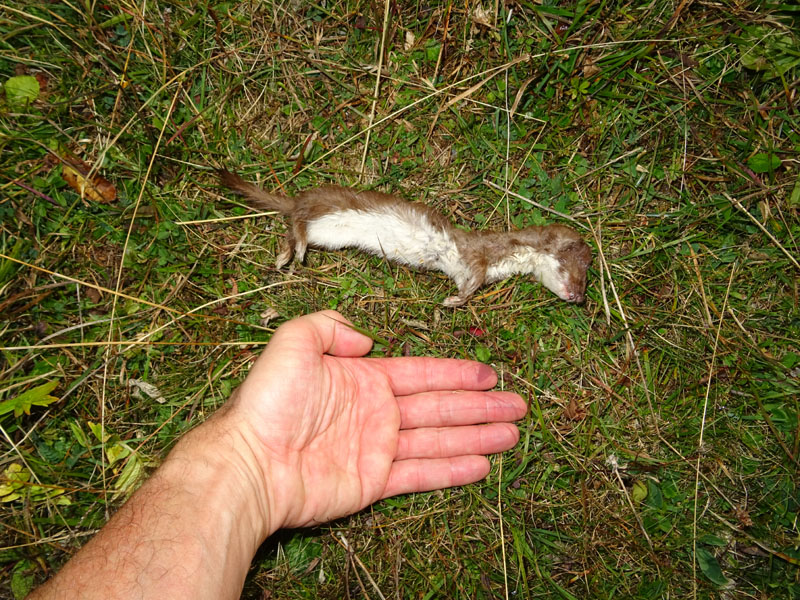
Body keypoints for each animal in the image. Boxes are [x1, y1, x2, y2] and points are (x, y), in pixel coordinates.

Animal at [216, 170, 592, 308]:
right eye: (580, 274)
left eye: (585, 282)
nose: (578, 298)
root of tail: (300, 197)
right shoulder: (476, 256)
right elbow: (471, 282)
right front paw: (452, 301)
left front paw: (452, 299)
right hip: (324, 209)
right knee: (296, 222)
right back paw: (295, 254)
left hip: (329, 234)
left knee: (291, 229)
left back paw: (285, 256)